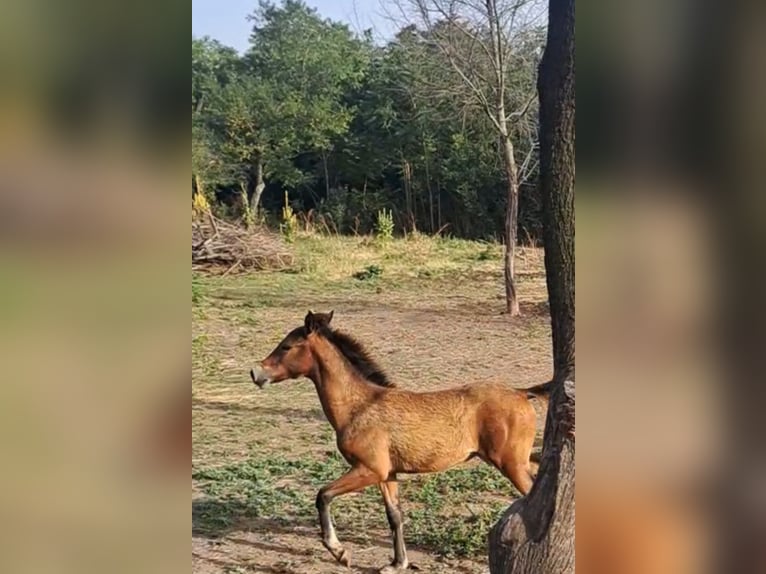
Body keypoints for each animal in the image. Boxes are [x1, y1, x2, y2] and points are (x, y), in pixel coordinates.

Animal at [252, 312, 552, 572]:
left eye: (287, 346)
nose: (256, 374)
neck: (359, 406)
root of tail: (522, 393)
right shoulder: (388, 474)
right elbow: (394, 516)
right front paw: (398, 563)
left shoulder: (369, 469)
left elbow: (323, 495)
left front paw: (340, 552)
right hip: (519, 459)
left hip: (510, 463)